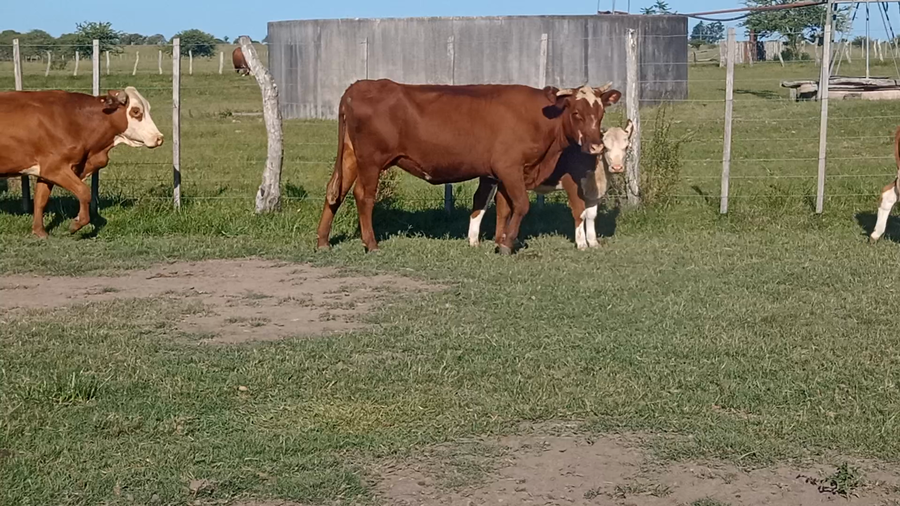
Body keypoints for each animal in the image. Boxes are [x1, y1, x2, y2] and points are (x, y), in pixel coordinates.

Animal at [0, 87, 164, 238]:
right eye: (136, 111)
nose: (159, 138)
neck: (75, 120)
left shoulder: (45, 172)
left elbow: (41, 200)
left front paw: (40, 231)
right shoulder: (55, 168)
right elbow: (84, 192)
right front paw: (77, 223)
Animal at [468, 120, 634, 250]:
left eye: (626, 147)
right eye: (606, 146)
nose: (617, 167)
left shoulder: (594, 192)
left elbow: (591, 215)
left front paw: (593, 242)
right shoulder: (572, 186)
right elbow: (579, 212)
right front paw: (581, 243)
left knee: (502, 207)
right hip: (490, 178)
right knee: (481, 199)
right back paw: (474, 240)